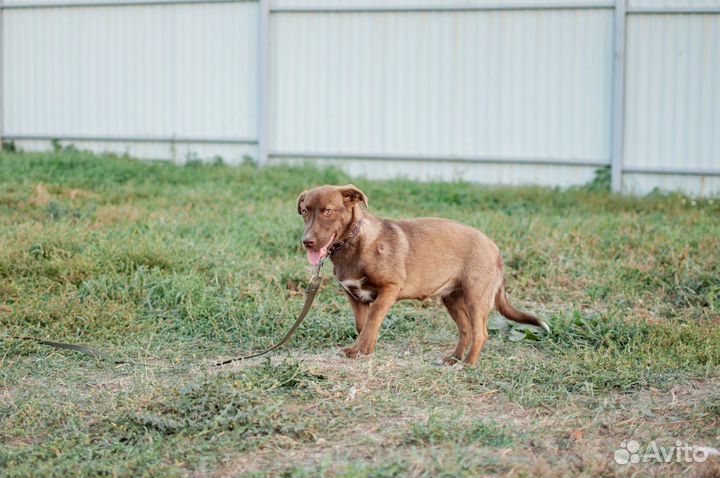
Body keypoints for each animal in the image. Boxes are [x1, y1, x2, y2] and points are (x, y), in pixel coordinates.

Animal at [296, 185, 548, 364]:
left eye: (328, 211)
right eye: (305, 211)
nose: (307, 242)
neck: (354, 242)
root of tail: (495, 248)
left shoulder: (389, 288)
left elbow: (372, 320)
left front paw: (360, 349)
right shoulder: (354, 296)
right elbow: (363, 325)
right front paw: (364, 350)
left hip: (476, 298)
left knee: (481, 333)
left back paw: (469, 364)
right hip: (452, 299)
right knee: (466, 330)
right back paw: (453, 359)